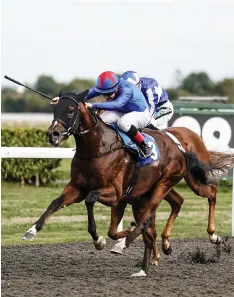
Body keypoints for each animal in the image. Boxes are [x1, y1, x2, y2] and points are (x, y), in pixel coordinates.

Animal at [22, 91, 234, 276]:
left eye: (70, 110)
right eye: (55, 109)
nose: (53, 134)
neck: (98, 148)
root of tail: (179, 146)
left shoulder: (115, 193)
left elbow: (90, 200)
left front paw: (99, 240)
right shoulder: (77, 188)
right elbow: (55, 203)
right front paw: (32, 230)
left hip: (172, 182)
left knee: (207, 193)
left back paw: (211, 235)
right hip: (151, 192)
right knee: (172, 206)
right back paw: (150, 257)